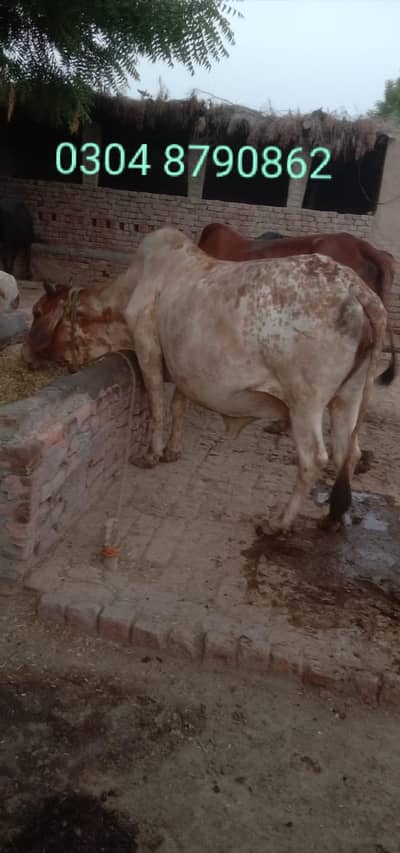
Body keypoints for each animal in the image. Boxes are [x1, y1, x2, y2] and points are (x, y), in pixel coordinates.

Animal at [123, 227, 386, 535]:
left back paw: (279, 523)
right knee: (349, 453)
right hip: (348, 396)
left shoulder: (146, 343)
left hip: (305, 401)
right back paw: (335, 517)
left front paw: (151, 455)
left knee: (313, 459)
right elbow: (178, 404)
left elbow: (157, 405)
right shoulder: (183, 366)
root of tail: (354, 287)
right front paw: (171, 450)